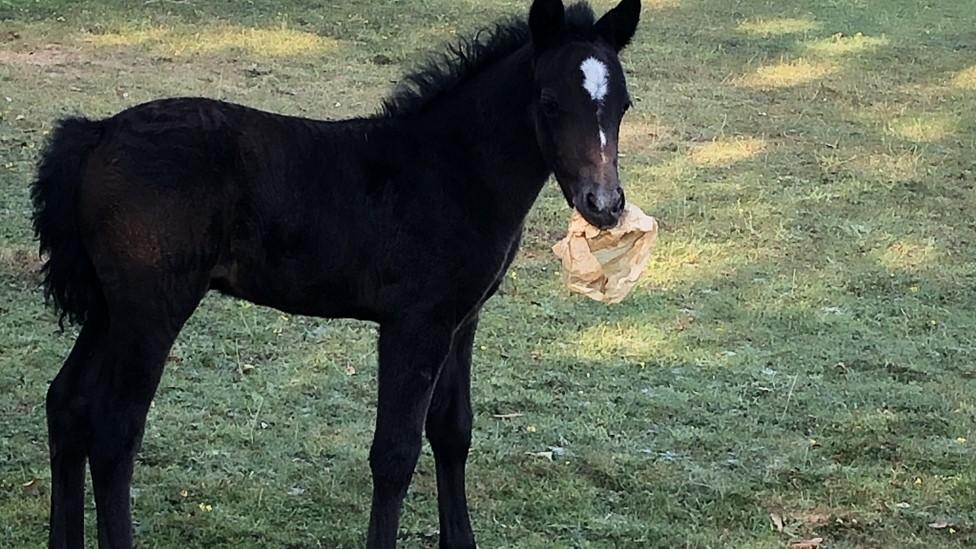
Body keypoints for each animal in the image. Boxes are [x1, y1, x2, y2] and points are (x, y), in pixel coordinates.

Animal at [32, 1, 640, 544]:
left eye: (624, 105)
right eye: (550, 102)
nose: (604, 204)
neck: (451, 172)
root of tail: (97, 133)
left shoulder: (461, 321)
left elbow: (453, 432)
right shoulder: (413, 325)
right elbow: (394, 454)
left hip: (111, 309)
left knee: (67, 403)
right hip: (151, 310)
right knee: (115, 431)